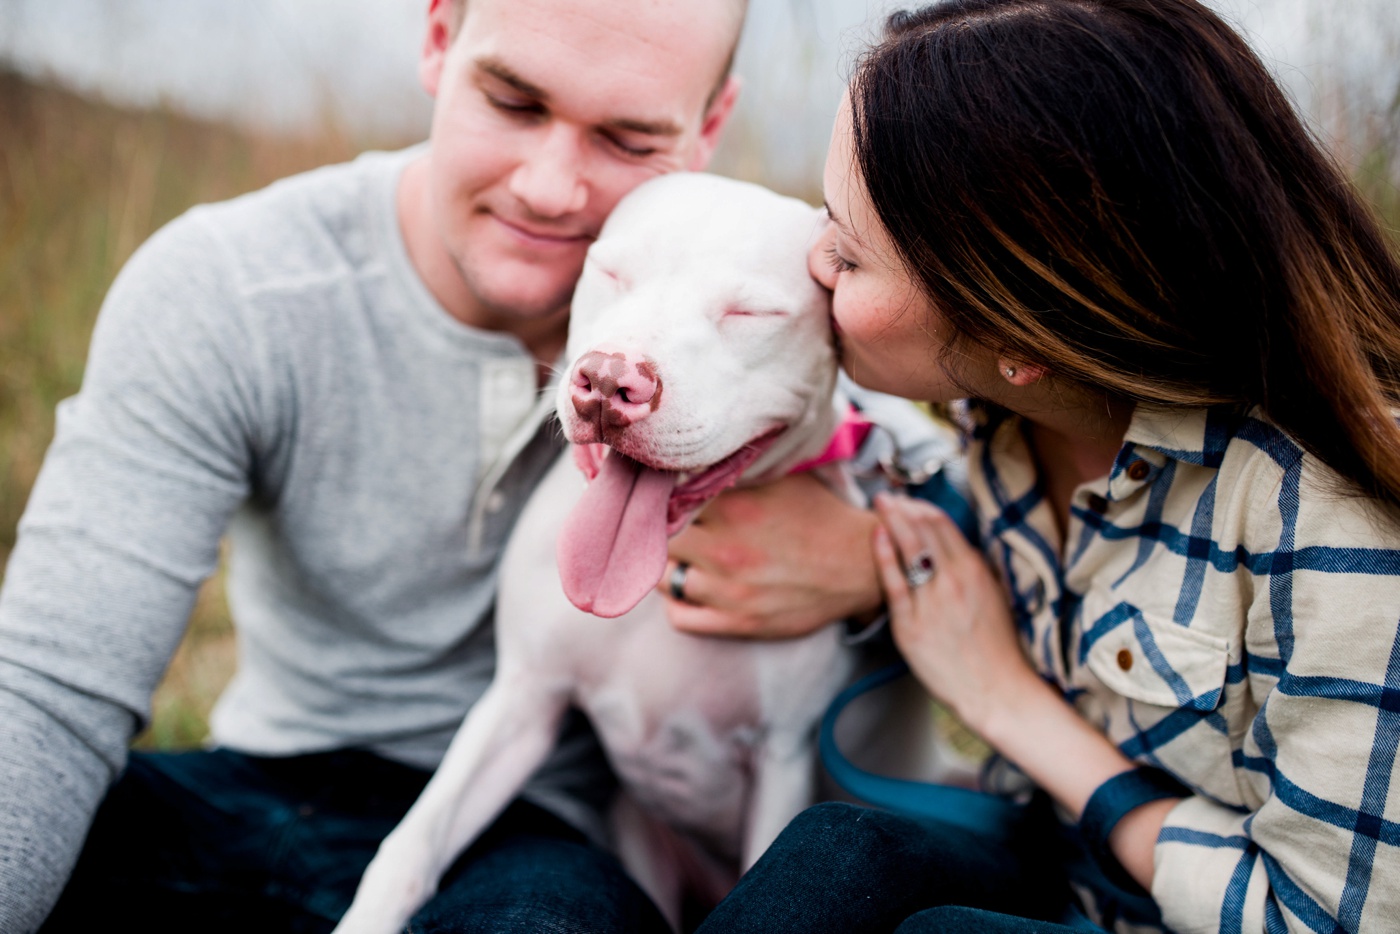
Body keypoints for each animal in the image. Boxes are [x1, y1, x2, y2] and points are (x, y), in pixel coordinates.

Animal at [333, 177, 868, 934]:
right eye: (612, 273)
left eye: (750, 313)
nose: (611, 382)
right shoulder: (522, 699)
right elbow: (414, 842)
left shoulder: (782, 757)